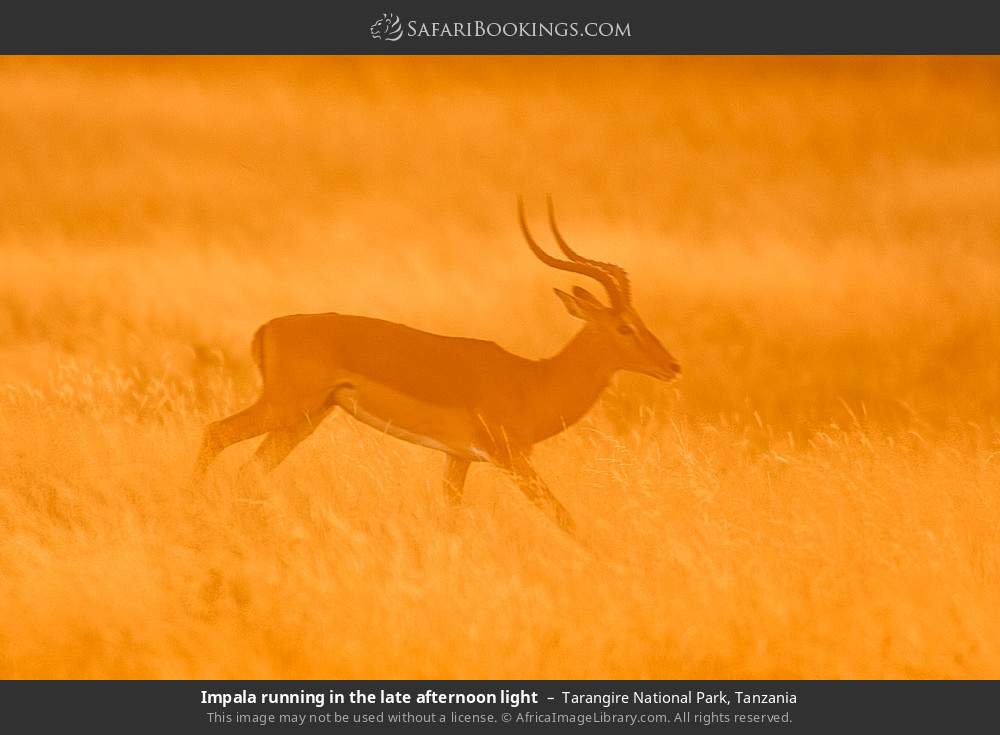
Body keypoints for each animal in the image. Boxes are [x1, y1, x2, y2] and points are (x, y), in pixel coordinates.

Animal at [193, 198, 681, 533]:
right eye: (625, 326)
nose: (672, 365)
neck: (534, 380)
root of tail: (269, 326)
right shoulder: (512, 459)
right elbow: (563, 516)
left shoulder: (457, 458)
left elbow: (450, 513)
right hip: (286, 408)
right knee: (215, 433)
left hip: (306, 418)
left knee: (249, 470)